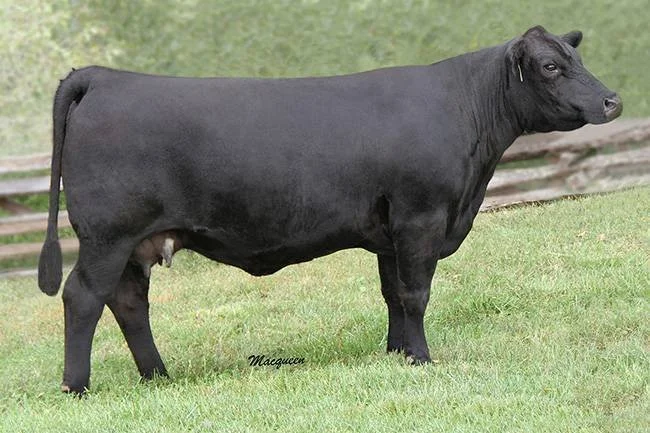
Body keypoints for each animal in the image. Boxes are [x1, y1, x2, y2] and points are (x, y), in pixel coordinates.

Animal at [38, 26, 622, 394]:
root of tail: (104, 76)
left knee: (129, 302)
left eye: (579, 60)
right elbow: (416, 293)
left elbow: (393, 294)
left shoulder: (390, 230)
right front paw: (422, 359)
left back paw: (158, 377)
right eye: (550, 66)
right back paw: (76, 386)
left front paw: (396, 354)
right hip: (108, 235)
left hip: (132, 243)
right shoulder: (421, 216)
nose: (612, 101)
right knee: (84, 297)